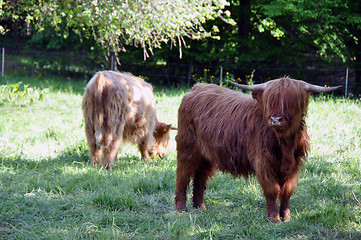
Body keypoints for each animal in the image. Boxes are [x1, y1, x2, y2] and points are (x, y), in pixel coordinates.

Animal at [174, 78, 340, 222]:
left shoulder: (294, 165)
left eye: (291, 102)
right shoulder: (263, 163)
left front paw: (286, 217)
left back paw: (199, 207)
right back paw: (181, 208)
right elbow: (273, 190)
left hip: (206, 154)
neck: (285, 144)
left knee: (200, 177)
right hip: (187, 147)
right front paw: (274, 218)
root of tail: (196, 88)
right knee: (183, 176)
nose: (275, 120)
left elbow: (287, 191)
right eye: (270, 101)